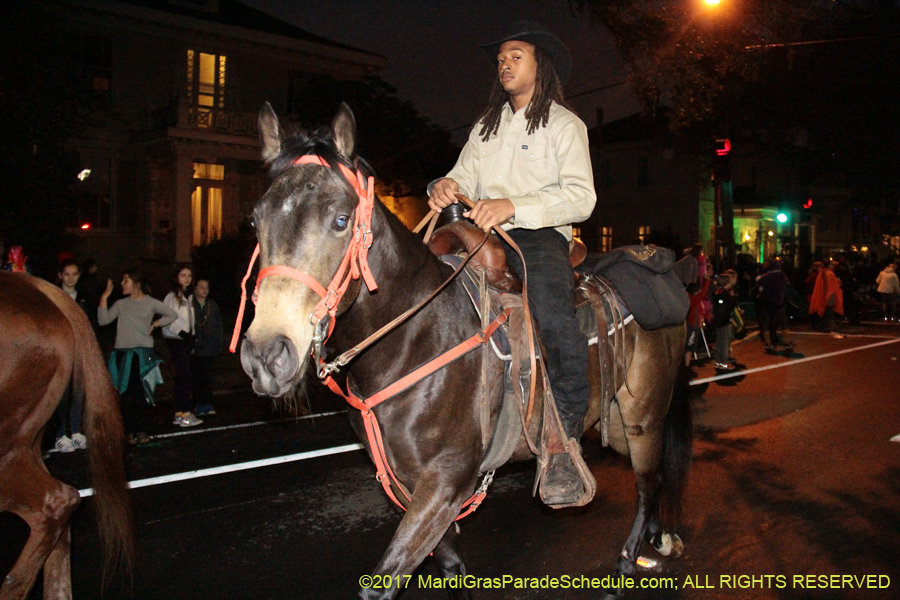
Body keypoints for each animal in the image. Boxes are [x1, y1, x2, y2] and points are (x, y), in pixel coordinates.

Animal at [237, 104, 688, 600]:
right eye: (255, 222)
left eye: (340, 219)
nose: (267, 355)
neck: (413, 338)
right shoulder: (413, 485)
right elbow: (451, 565)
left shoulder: (445, 479)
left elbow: (382, 584)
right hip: (621, 420)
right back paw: (657, 541)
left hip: (643, 415)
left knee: (648, 484)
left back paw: (626, 567)